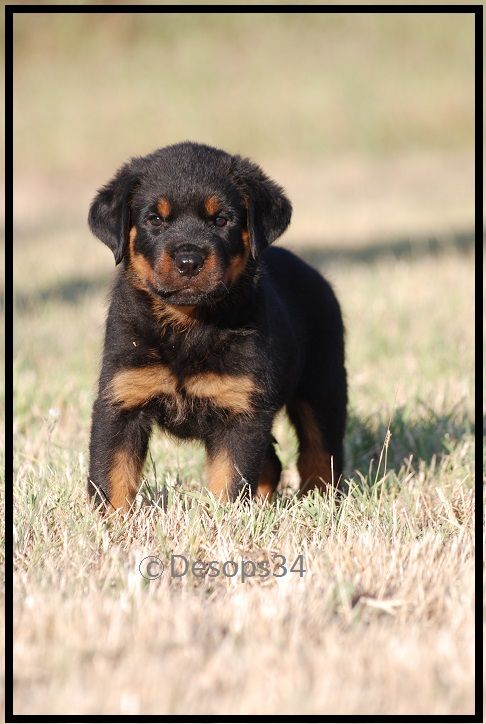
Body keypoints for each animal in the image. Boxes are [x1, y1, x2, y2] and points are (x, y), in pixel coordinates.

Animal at [87, 141, 347, 512]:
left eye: (221, 219)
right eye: (154, 219)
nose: (188, 261)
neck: (187, 324)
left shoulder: (240, 410)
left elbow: (230, 481)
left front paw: (224, 520)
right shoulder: (121, 399)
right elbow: (112, 477)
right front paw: (112, 523)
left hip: (323, 385)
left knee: (321, 451)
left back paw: (321, 502)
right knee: (273, 462)